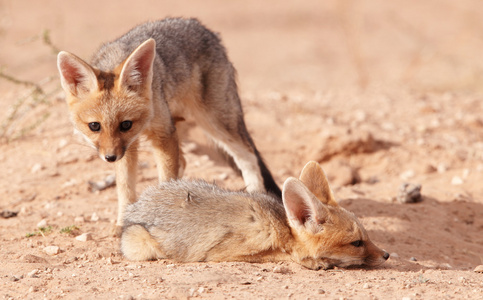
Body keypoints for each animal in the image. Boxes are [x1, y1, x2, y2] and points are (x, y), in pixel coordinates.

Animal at [57, 18, 282, 230]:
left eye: (126, 124)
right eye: (94, 126)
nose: (110, 158)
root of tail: (205, 28)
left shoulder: (162, 134)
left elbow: (165, 180)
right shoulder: (129, 146)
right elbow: (125, 186)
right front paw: (122, 223)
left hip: (215, 122)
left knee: (249, 156)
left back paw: (255, 194)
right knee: (183, 161)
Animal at [121, 162, 390, 270]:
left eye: (366, 236)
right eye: (357, 243)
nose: (386, 255)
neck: (278, 226)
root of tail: (136, 205)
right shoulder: (224, 253)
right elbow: (279, 255)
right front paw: (312, 261)